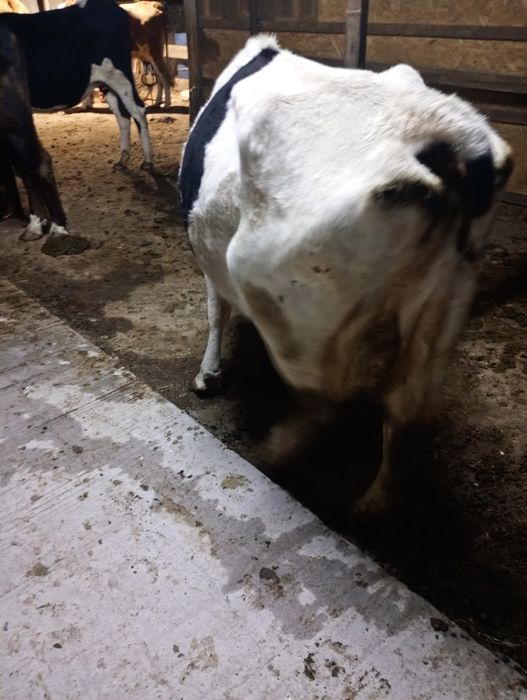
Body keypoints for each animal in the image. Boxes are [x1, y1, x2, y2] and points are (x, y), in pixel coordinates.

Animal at [0, 0, 153, 170]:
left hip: (120, 75)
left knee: (138, 110)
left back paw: (147, 161)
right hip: (107, 83)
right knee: (123, 116)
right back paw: (122, 160)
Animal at [179, 35, 513, 516]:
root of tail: (449, 136)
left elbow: (214, 310)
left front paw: (208, 374)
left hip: (288, 306)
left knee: (325, 405)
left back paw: (273, 454)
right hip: (445, 303)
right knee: (407, 419)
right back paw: (370, 506)